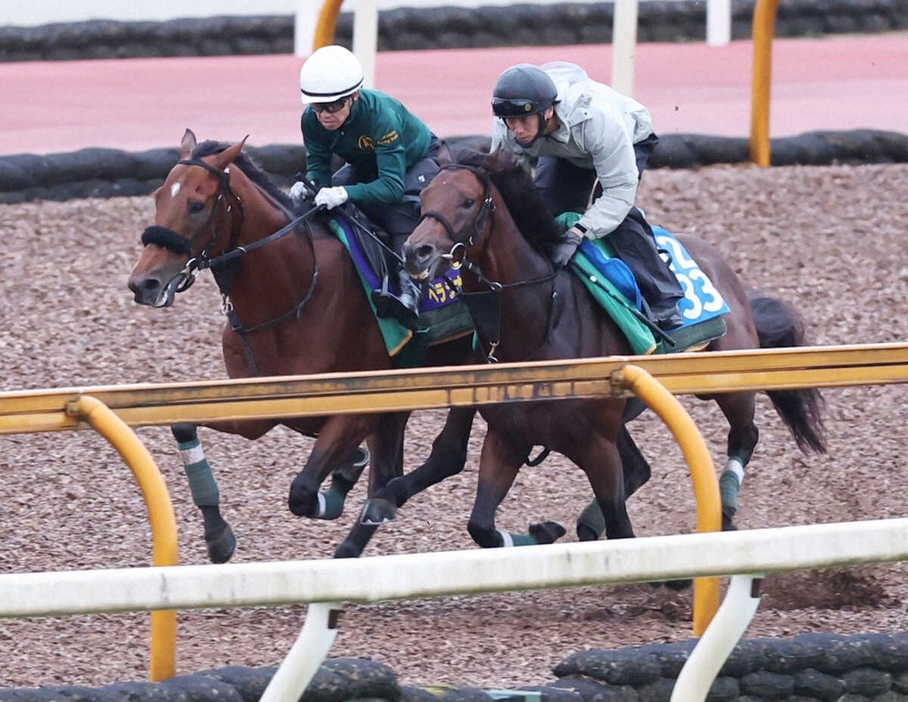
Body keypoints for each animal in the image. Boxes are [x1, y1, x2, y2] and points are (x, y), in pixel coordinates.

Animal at [127, 129, 476, 564]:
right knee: (390, 471)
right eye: (159, 196)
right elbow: (183, 424)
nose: (144, 283)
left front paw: (342, 477)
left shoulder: (360, 401)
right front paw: (218, 536)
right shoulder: (259, 407)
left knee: (443, 457)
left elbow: (304, 492)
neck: (293, 294)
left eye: (196, 204)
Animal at [394, 150, 828, 552]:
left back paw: (724, 509)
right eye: (424, 197)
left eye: (467, 201)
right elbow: (481, 527)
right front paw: (544, 532)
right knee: (641, 468)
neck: (538, 328)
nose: (416, 251)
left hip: (726, 377)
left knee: (745, 434)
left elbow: (622, 529)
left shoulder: (596, 446)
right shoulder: (508, 438)